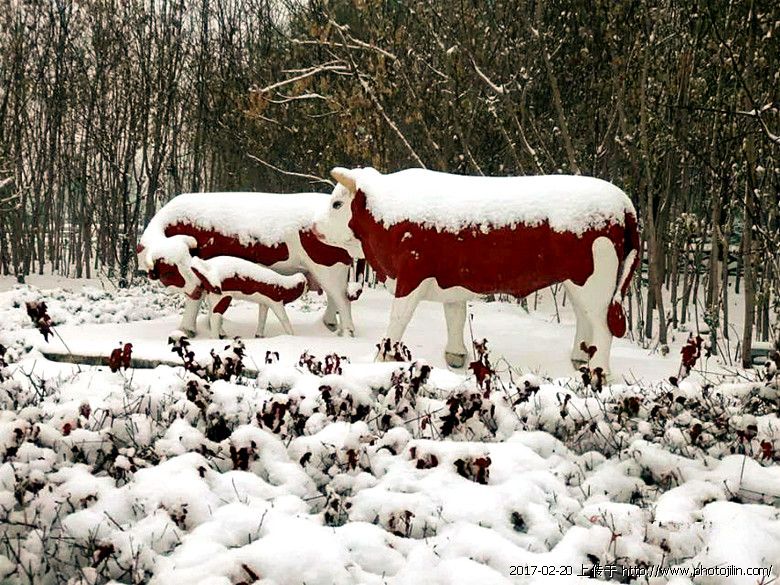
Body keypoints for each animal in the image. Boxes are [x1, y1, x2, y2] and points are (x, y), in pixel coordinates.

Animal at [137, 191, 357, 337]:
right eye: (169, 271)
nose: (196, 288)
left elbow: (197, 302)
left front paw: (186, 329)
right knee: (334, 298)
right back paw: (330, 325)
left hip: (329, 269)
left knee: (342, 299)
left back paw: (346, 333)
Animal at [314, 167, 640, 374]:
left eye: (337, 203)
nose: (315, 228)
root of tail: (622, 201)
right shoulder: (450, 280)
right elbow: (455, 316)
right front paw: (456, 355)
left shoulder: (411, 275)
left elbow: (397, 320)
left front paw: (382, 357)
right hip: (578, 281)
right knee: (585, 319)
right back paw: (580, 359)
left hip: (594, 281)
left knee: (602, 325)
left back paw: (598, 373)